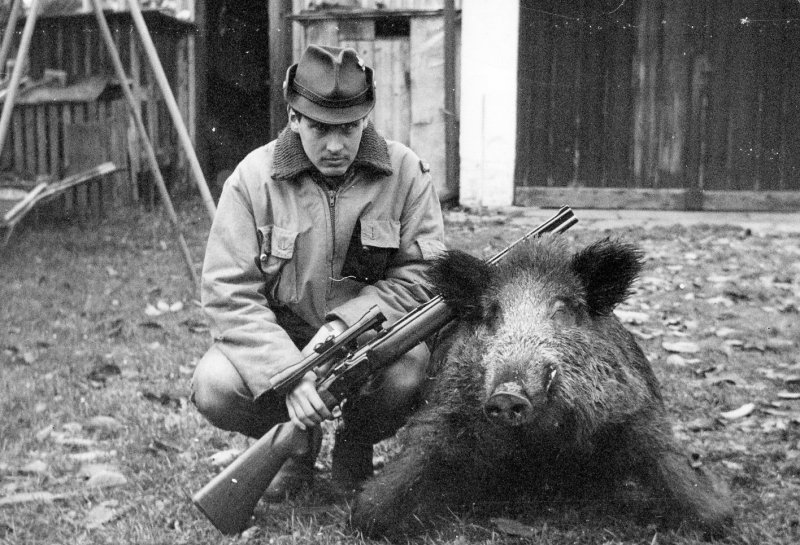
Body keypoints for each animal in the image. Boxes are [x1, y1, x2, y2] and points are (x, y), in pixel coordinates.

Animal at [350, 236, 733, 538]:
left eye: (562, 310)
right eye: (493, 314)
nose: (507, 394)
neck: (540, 448)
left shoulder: (637, 413)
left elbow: (705, 507)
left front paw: (721, 512)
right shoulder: (442, 417)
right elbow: (373, 510)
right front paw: (363, 508)